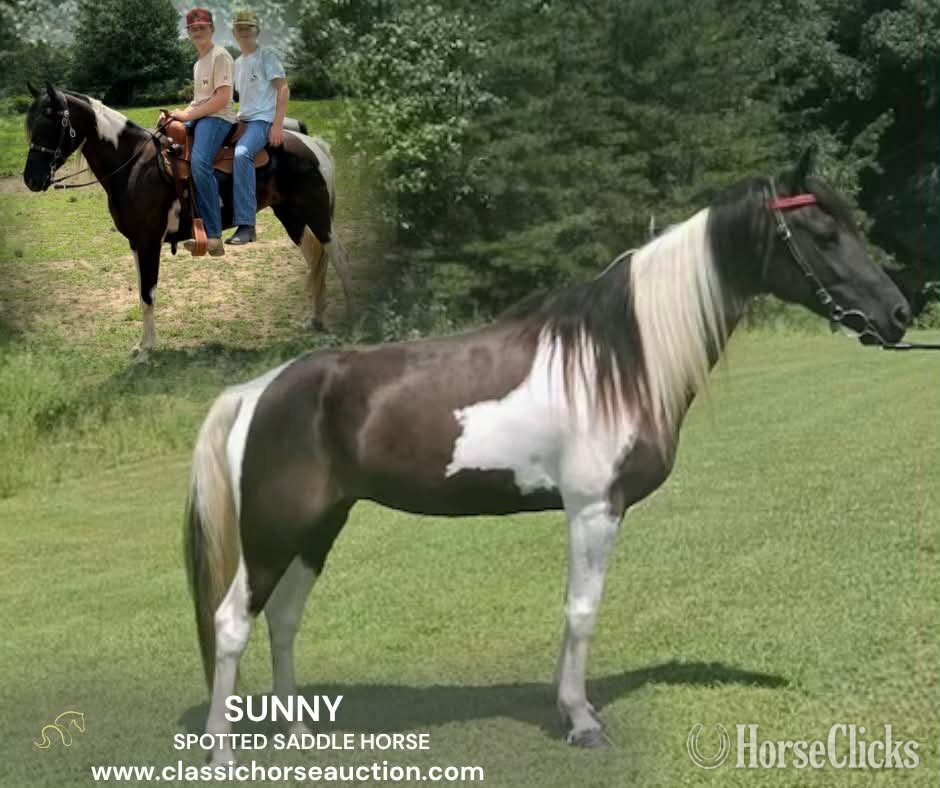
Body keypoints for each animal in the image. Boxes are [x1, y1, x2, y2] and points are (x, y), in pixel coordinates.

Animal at [22, 82, 350, 358]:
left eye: (50, 123)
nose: (31, 179)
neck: (133, 164)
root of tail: (314, 144)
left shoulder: (149, 242)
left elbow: (148, 293)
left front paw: (147, 351)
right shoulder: (136, 244)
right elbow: (142, 293)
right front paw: (142, 345)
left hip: (318, 216)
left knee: (338, 259)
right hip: (292, 217)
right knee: (315, 260)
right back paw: (314, 319)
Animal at [183, 150, 910, 763]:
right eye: (822, 236)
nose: (899, 314)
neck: (620, 359)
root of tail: (256, 392)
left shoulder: (587, 512)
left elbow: (572, 608)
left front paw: (569, 708)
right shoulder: (595, 509)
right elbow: (582, 611)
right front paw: (583, 721)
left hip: (317, 529)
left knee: (283, 618)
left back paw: (302, 734)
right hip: (274, 532)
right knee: (231, 623)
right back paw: (222, 751)